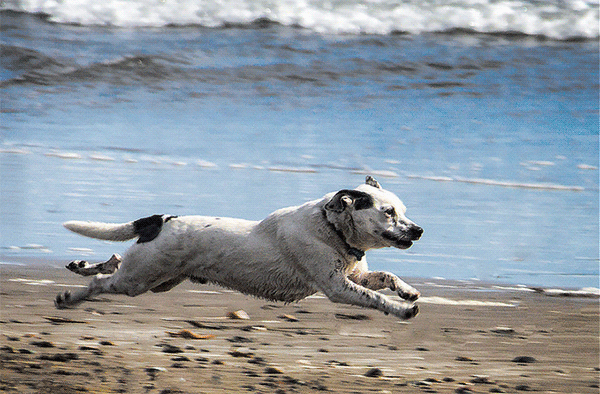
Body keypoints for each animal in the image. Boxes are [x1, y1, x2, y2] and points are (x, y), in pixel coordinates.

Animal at [55, 177, 422, 318]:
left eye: (403, 210)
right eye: (388, 213)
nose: (419, 230)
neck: (332, 229)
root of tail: (161, 220)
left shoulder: (353, 276)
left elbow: (385, 276)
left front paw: (408, 292)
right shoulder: (337, 287)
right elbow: (374, 297)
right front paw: (402, 309)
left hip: (156, 280)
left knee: (115, 260)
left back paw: (81, 265)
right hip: (140, 279)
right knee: (102, 283)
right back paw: (70, 296)